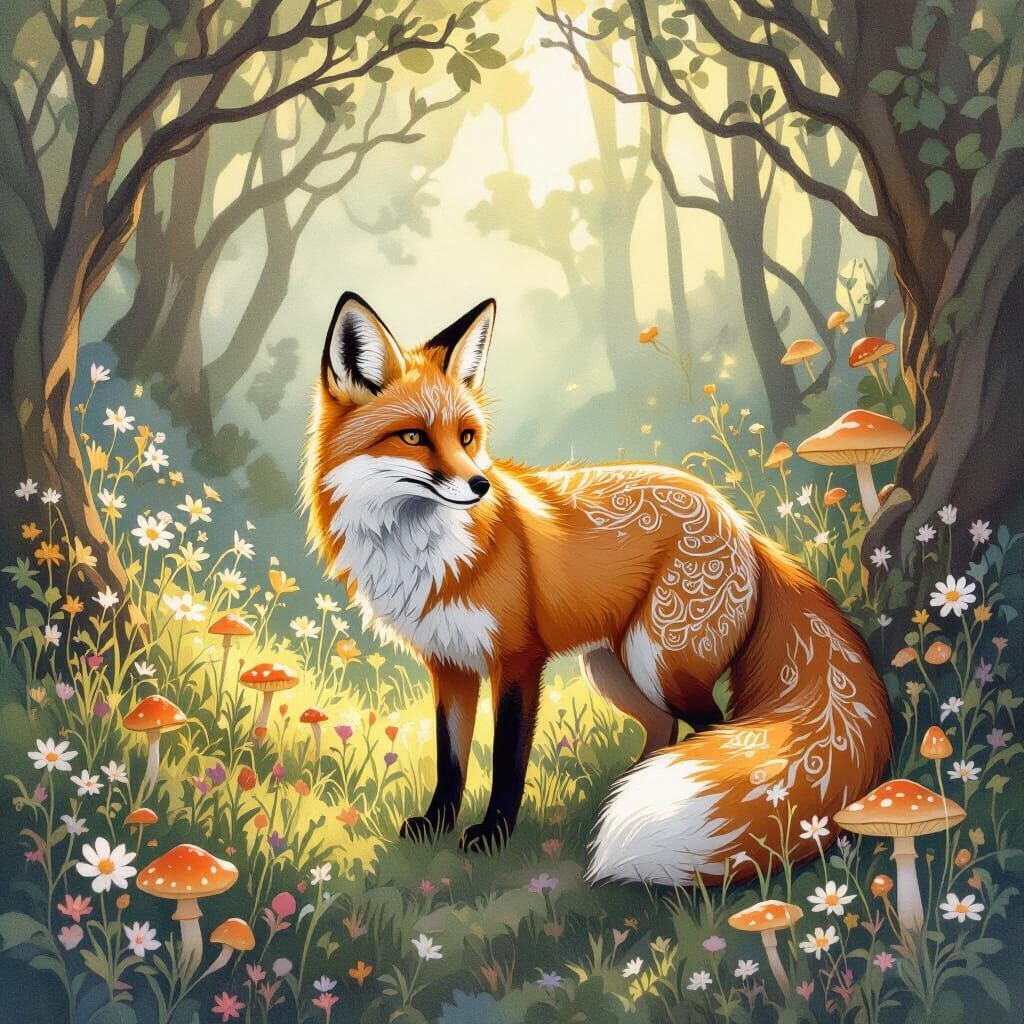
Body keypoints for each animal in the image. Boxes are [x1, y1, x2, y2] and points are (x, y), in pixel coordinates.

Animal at [303, 292, 893, 885]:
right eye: (413, 437)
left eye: (467, 437)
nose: (480, 484)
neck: (426, 554)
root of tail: (741, 523)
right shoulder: (448, 663)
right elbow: (451, 759)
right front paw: (437, 823)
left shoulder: (517, 658)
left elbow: (507, 759)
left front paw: (493, 835)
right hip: (613, 666)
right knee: (663, 729)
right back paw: (621, 796)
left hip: (660, 664)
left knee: (715, 731)